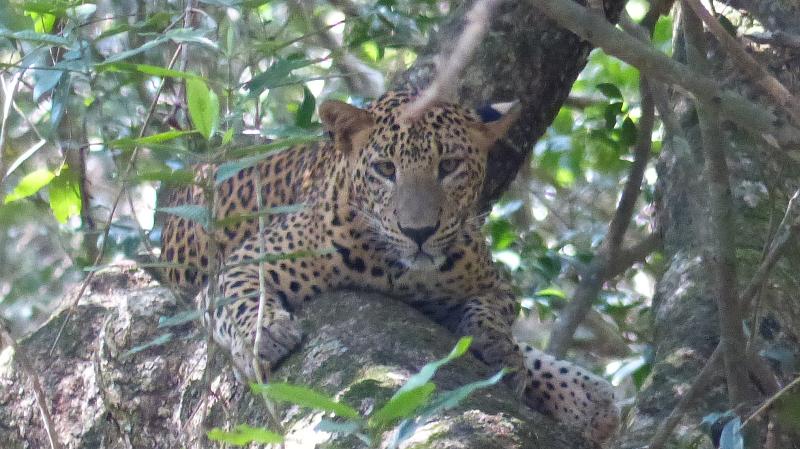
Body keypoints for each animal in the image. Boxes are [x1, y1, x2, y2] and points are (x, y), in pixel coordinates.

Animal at [161, 90, 620, 440]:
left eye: (449, 166)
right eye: (385, 169)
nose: (419, 231)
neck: (394, 269)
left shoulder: (494, 283)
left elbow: (492, 311)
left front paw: (496, 344)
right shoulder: (245, 261)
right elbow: (241, 298)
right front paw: (267, 334)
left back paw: (588, 397)